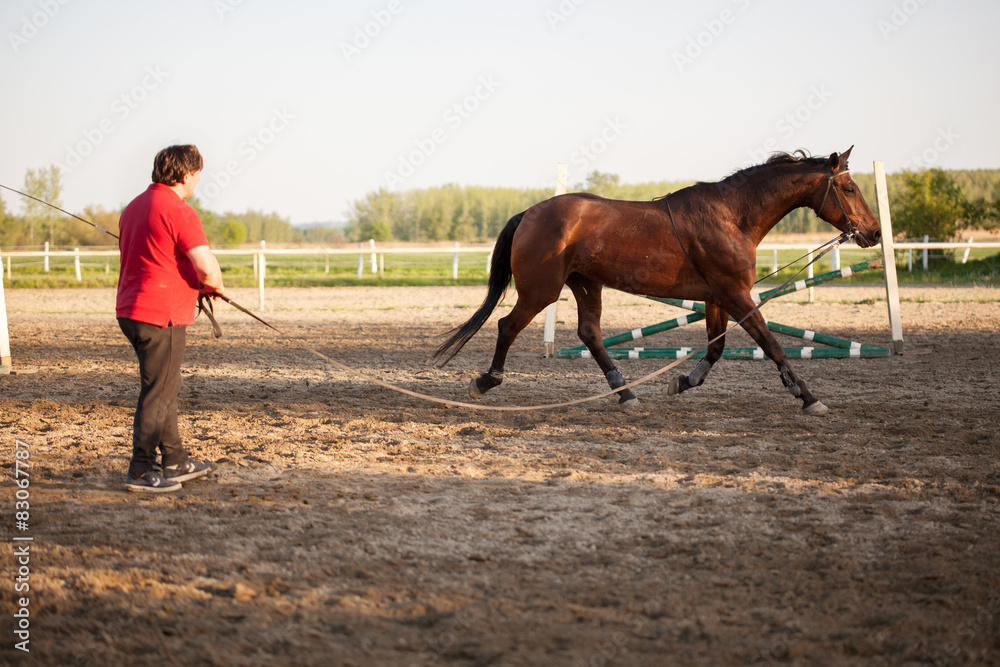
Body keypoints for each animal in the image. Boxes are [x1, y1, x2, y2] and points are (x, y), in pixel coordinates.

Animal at [433, 147, 882, 415]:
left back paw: (626, 393)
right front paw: (808, 397)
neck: (731, 216)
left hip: (585, 284)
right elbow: (771, 344)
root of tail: (528, 213)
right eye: (848, 187)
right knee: (507, 326)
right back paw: (486, 381)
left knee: (590, 334)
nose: (874, 233)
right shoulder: (737, 294)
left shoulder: (718, 297)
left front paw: (683, 381)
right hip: (541, 291)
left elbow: (716, 349)